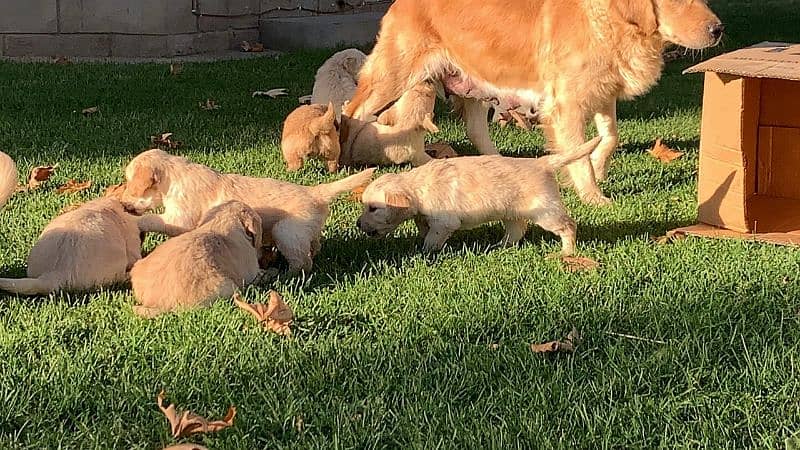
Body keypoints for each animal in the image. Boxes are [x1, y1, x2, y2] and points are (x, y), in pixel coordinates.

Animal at [121, 149, 376, 272]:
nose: (123, 203)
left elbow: (156, 220)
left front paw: (137, 220)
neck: (175, 175)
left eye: (129, 183)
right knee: (313, 248)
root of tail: (315, 192)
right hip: (303, 232)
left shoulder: (179, 218)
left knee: (302, 263)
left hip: (286, 232)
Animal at [346, 0, 720, 206]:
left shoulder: (602, 91)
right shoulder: (567, 105)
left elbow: (610, 137)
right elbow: (580, 155)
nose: (718, 29)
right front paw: (594, 197)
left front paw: (599, 168)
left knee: (475, 130)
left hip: (475, 82)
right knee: (353, 113)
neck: (609, 21)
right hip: (393, 75)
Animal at [356, 135, 600, 255]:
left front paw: (426, 252)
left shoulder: (444, 222)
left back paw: (567, 252)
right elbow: (423, 228)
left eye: (373, 208)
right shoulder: (424, 216)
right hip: (511, 212)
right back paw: (500, 247)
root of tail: (543, 163)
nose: (358, 224)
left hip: (545, 211)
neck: (417, 186)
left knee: (568, 226)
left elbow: (433, 238)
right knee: (516, 230)